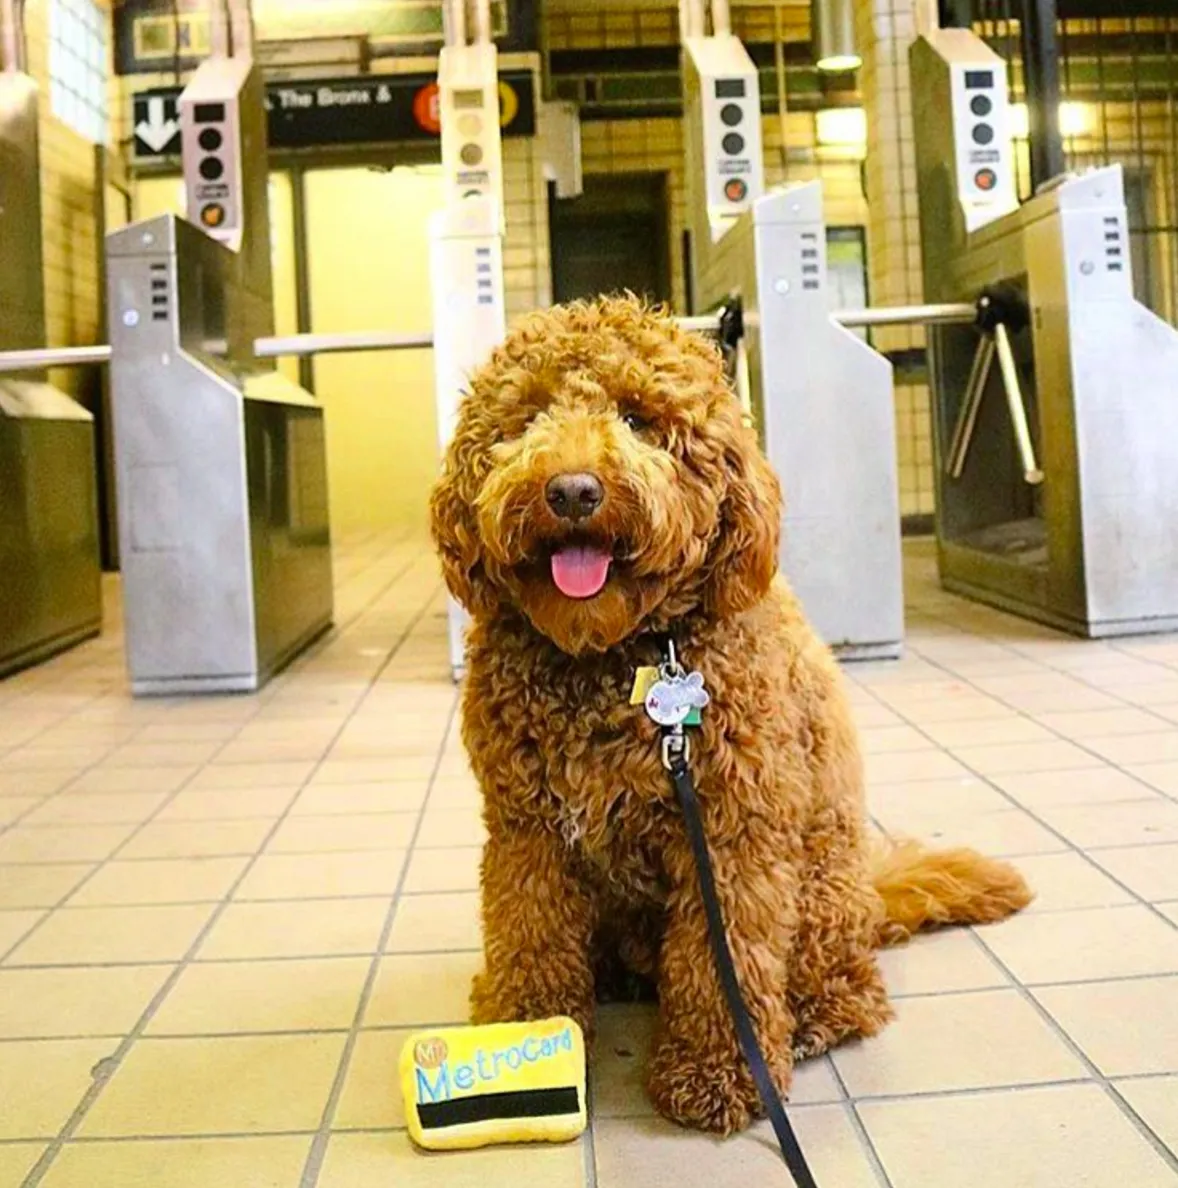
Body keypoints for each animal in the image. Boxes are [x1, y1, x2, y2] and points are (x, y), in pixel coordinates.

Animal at [429, 294, 1030, 1130]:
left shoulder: (731, 834)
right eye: (529, 418)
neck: (620, 656)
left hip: (820, 887)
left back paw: (812, 1018)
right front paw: (522, 1037)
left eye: (640, 418)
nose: (573, 490)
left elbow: (725, 964)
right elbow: (530, 931)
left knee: (851, 988)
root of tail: (871, 894)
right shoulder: (528, 829)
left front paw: (717, 1073)